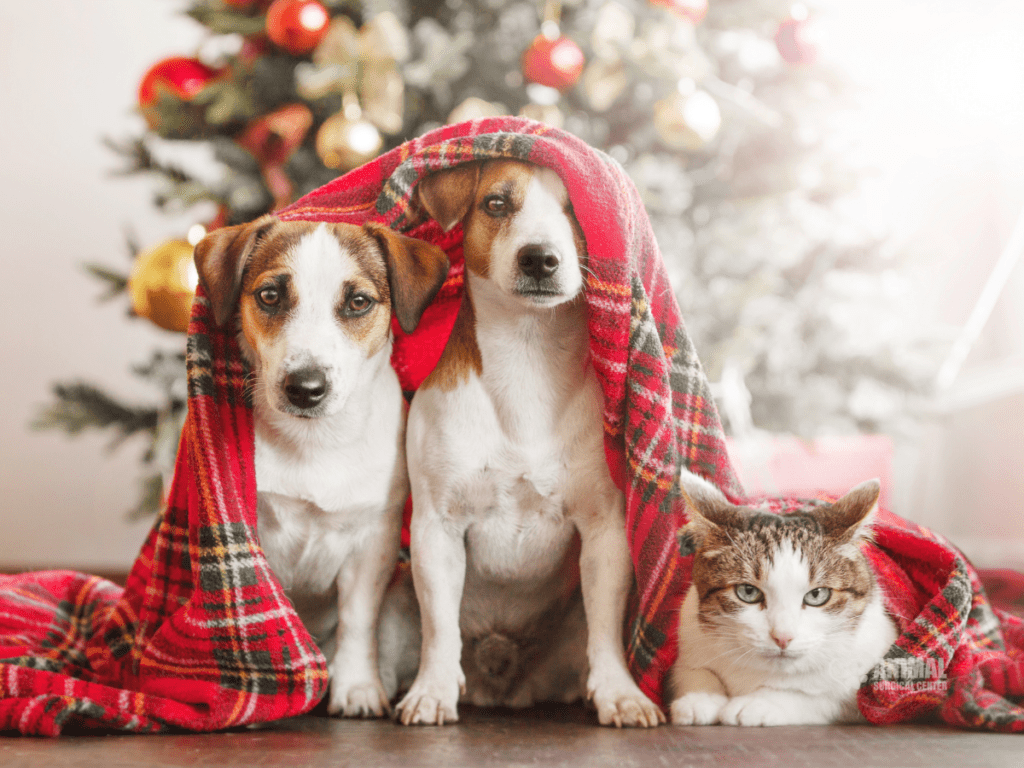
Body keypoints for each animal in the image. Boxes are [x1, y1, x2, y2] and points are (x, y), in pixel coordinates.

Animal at [192, 214, 448, 720]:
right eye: (270, 295)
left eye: (358, 302)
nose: (305, 388)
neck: (314, 443)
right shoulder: (256, 531)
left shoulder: (373, 539)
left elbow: (357, 619)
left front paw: (358, 687)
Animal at [391, 160, 663, 729]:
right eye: (496, 203)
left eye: (575, 208)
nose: (540, 257)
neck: (527, 353)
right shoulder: (436, 527)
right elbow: (439, 626)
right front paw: (432, 691)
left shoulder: (604, 528)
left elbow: (607, 628)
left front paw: (620, 693)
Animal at [663, 473, 897, 729]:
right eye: (747, 592)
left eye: (817, 595)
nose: (783, 637)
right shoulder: (691, 633)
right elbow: (692, 670)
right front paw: (700, 698)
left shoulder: (870, 683)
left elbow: (822, 697)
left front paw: (758, 703)